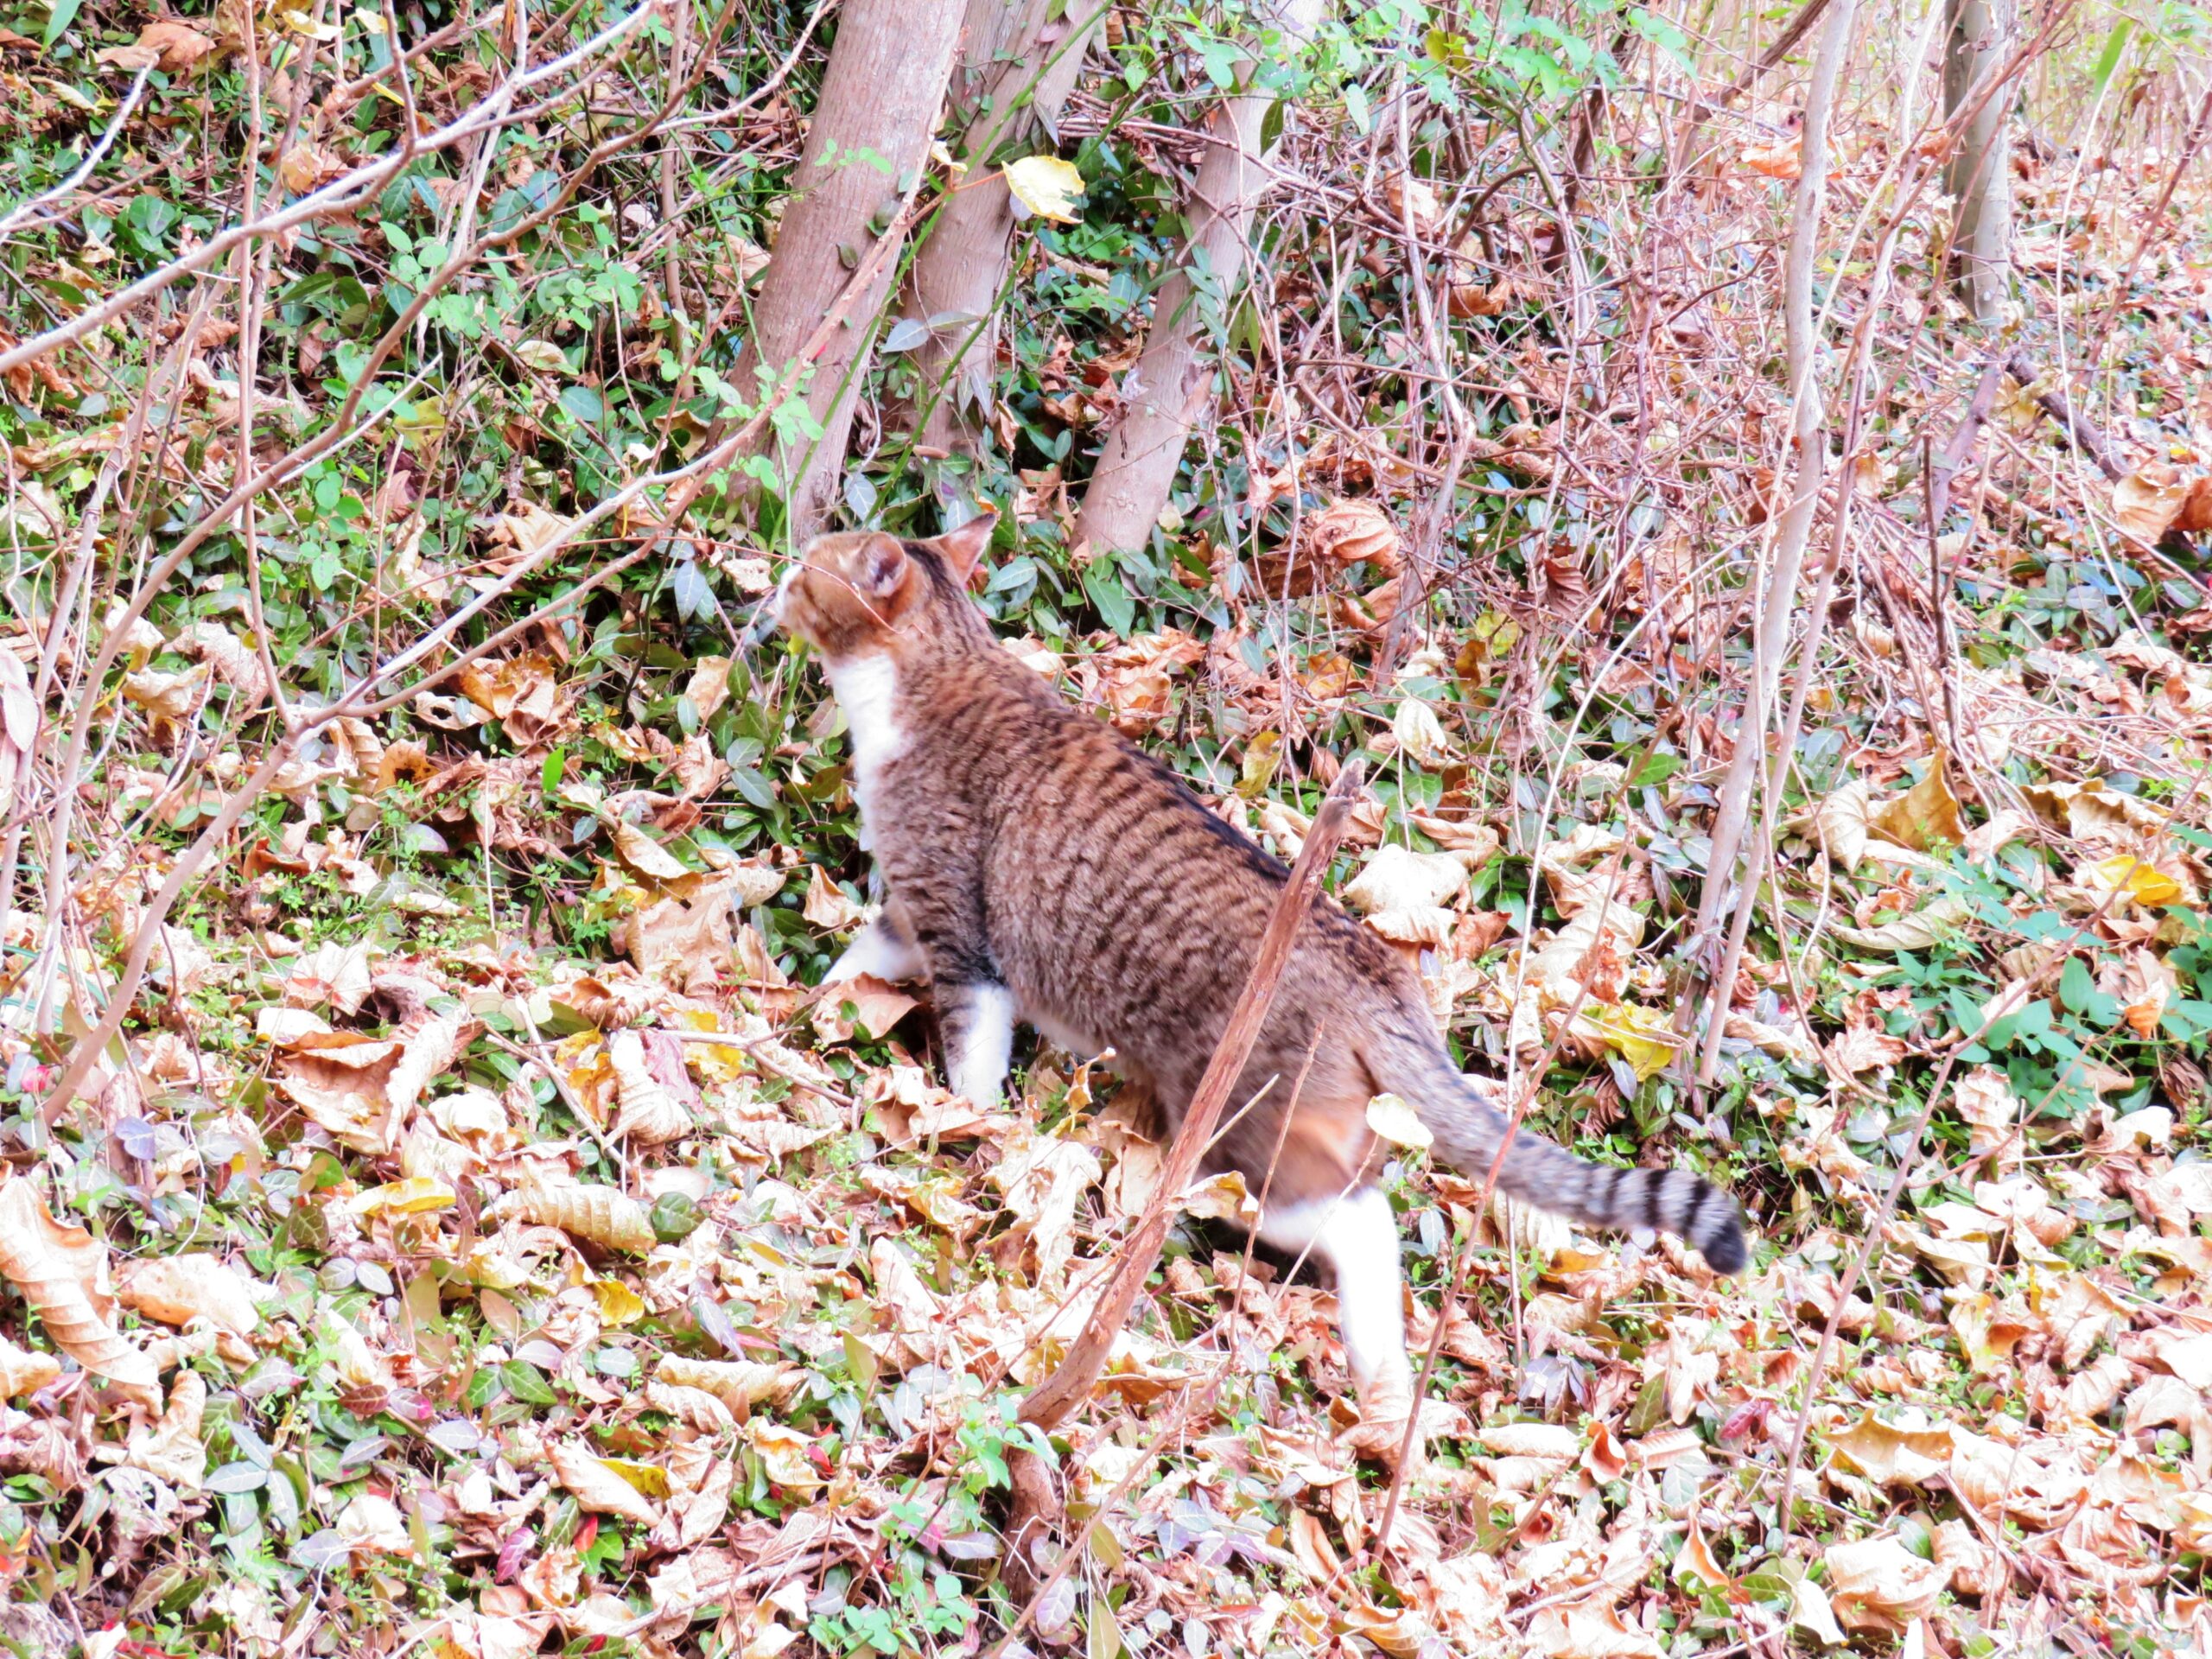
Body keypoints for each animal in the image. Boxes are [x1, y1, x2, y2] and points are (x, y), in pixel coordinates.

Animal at [774, 512, 1743, 1424]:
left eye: (808, 570)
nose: (772, 580)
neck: (935, 672)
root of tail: (1380, 977)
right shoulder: (910, 913)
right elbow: (854, 965)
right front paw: (800, 1018)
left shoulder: (958, 931)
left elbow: (972, 1061)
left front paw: (961, 1136)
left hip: (1241, 1130)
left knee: (1360, 1224)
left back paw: (1377, 1377)